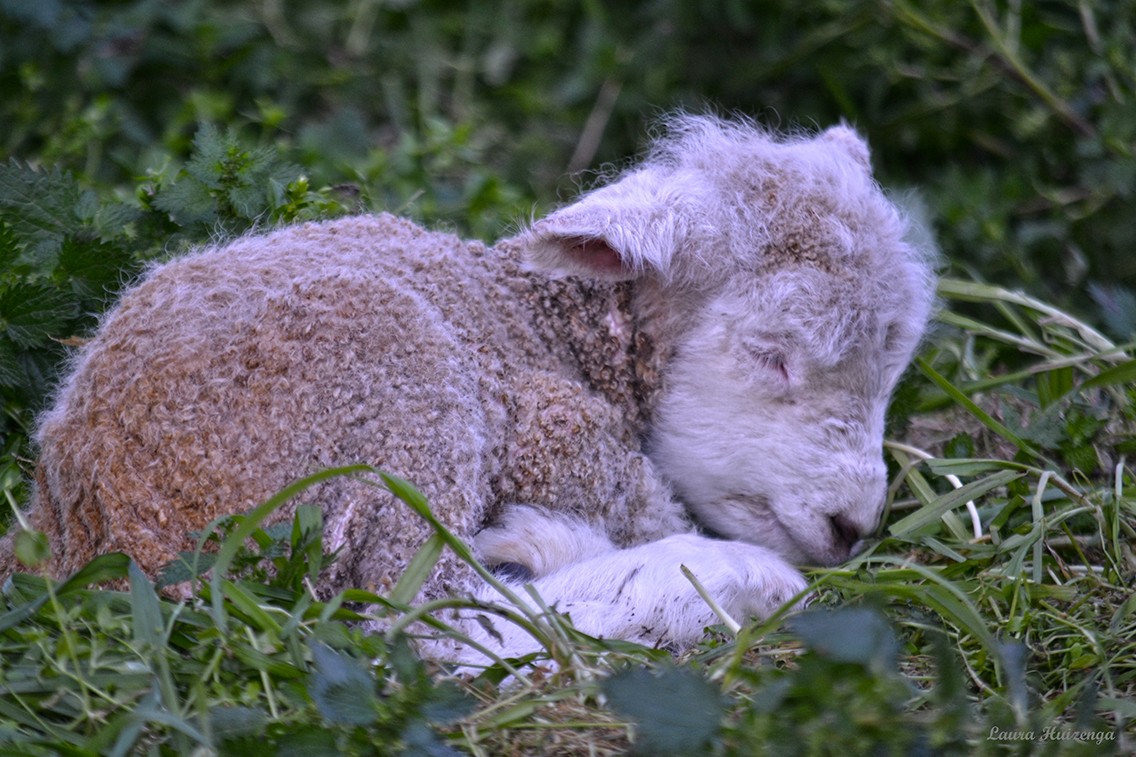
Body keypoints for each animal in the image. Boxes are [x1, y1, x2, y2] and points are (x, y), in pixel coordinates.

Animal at [4, 113, 936, 659]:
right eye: (772, 353)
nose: (853, 525)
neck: (558, 324)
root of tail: (92, 524)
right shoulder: (560, 438)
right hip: (388, 406)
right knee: (420, 620)